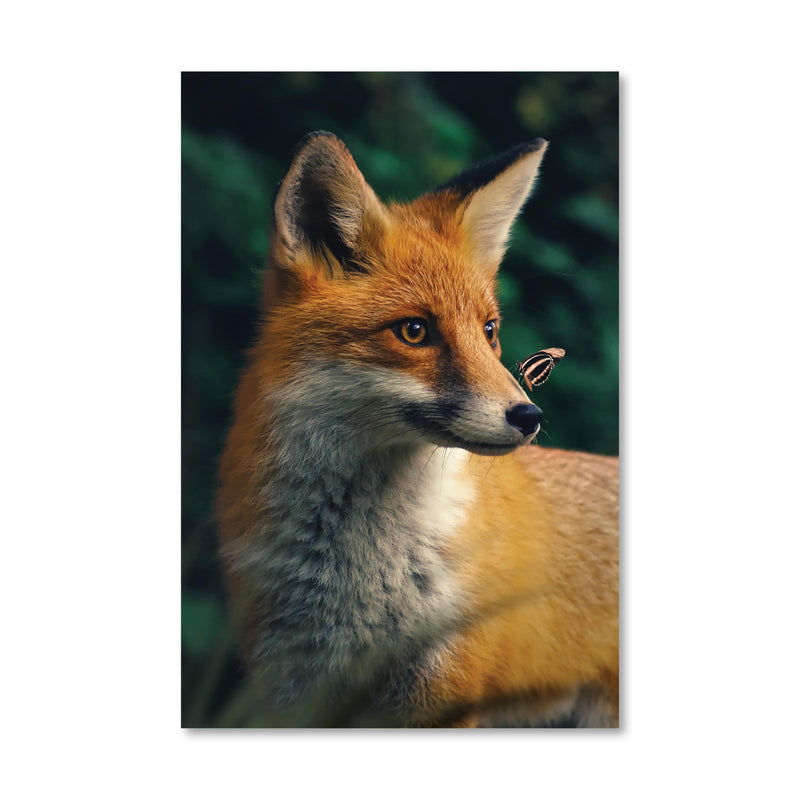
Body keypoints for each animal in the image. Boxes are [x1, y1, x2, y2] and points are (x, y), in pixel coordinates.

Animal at [215, 131, 619, 727]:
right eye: (414, 331)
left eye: (489, 330)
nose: (530, 417)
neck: (357, 574)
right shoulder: (292, 690)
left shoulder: (442, 691)